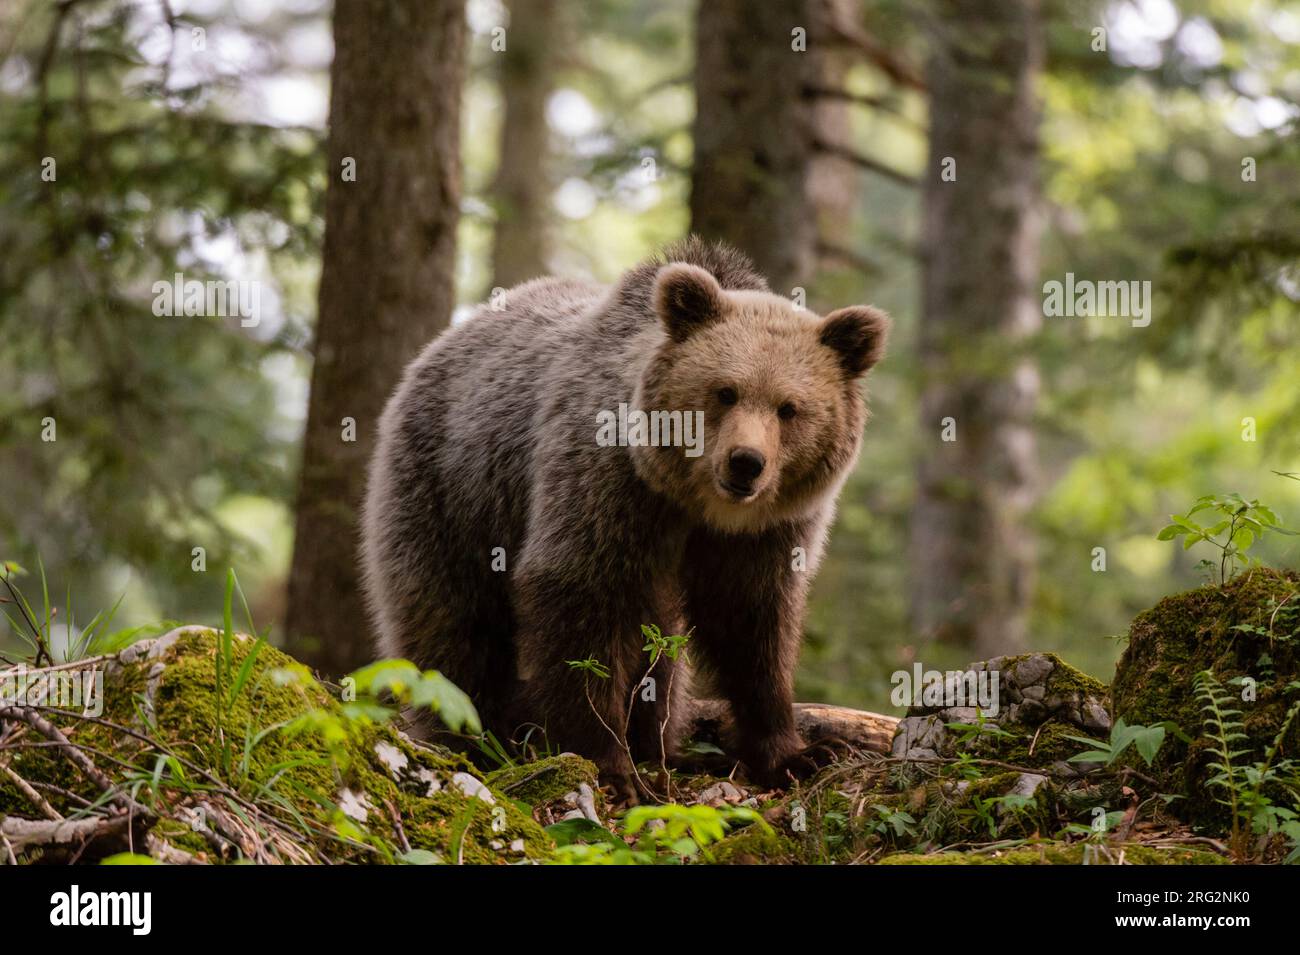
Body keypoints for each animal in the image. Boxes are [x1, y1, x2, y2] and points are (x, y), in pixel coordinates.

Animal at [361, 235, 889, 795]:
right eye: (725, 391)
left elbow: (751, 625)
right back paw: (476, 739)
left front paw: (796, 754)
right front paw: (609, 766)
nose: (745, 463)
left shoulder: (766, 532)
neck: (695, 503)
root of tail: (443, 341)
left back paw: (658, 746)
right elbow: (581, 596)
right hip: (450, 491)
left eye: (789, 408)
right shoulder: (607, 483)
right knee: (451, 624)